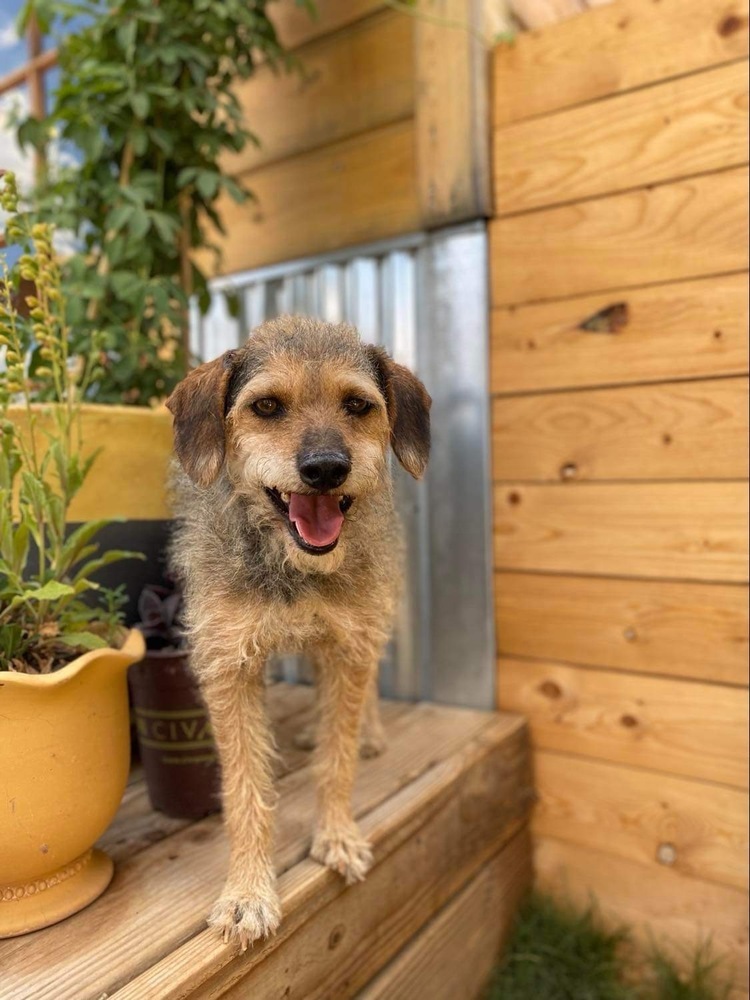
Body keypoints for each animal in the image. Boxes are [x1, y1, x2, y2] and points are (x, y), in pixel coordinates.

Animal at [167, 316, 432, 948]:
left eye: (357, 404)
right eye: (266, 405)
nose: (326, 468)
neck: (293, 568)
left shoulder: (350, 644)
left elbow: (338, 761)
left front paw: (336, 835)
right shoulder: (229, 665)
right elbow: (243, 788)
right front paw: (247, 894)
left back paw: (369, 731)